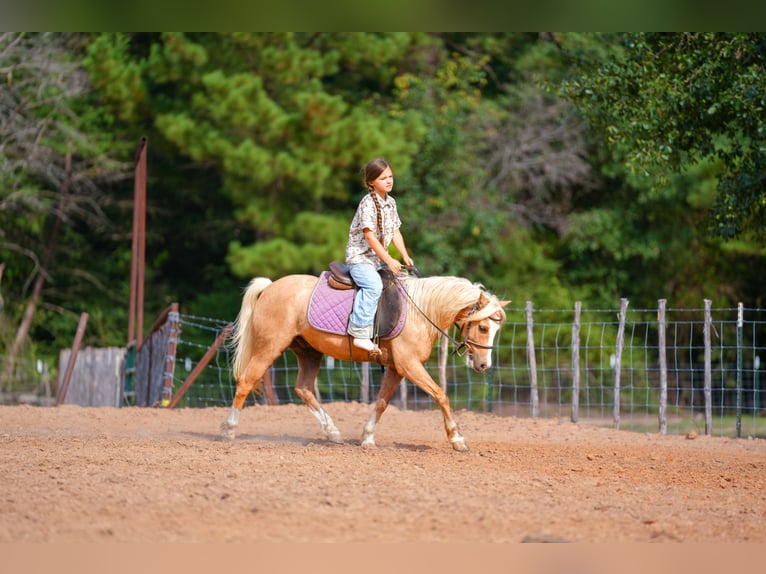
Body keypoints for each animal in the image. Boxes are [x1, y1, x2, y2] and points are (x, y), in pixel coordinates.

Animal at [221, 271, 509, 451]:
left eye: (496, 329)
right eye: (483, 327)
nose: (484, 366)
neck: (421, 310)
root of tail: (269, 287)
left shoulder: (396, 369)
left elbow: (382, 402)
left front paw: (367, 437)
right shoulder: (410, 365)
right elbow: (441, 395)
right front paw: (457, 439)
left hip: (309, 352)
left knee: (303, 388)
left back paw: (333, 432)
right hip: (269, 347)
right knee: (246, 381)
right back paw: (229, 429)